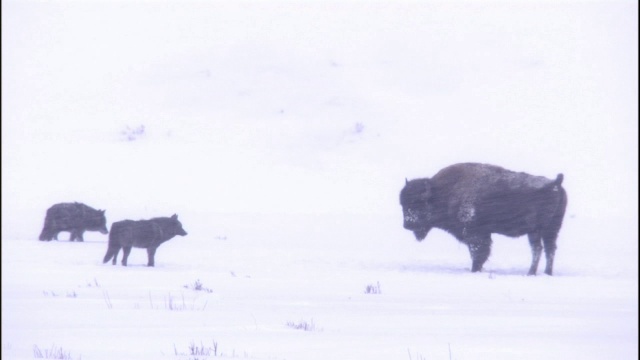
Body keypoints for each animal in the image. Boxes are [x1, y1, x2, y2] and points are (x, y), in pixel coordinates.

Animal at [400, 163, 568, 276]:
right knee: (544, 249)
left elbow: (478, 253)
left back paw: (534, 273)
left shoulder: (476, 234)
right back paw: (540, 273)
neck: (441, 192)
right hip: (543, 230)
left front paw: (474, 270)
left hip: (541, 230)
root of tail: (555, 183)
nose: (407, 224)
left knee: (542, 249)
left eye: (420, 204)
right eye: (402, 204)